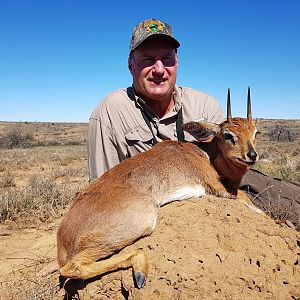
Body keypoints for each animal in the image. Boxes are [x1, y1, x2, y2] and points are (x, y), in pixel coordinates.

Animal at [41, 87, 258, 288]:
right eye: (228, 135)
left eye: (255, 133)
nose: (252, 155)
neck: (205, 153)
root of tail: (63, 238)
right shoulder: (218, 189)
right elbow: (250, 202)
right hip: (140, 222)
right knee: (72, 268)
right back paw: (140, 270)